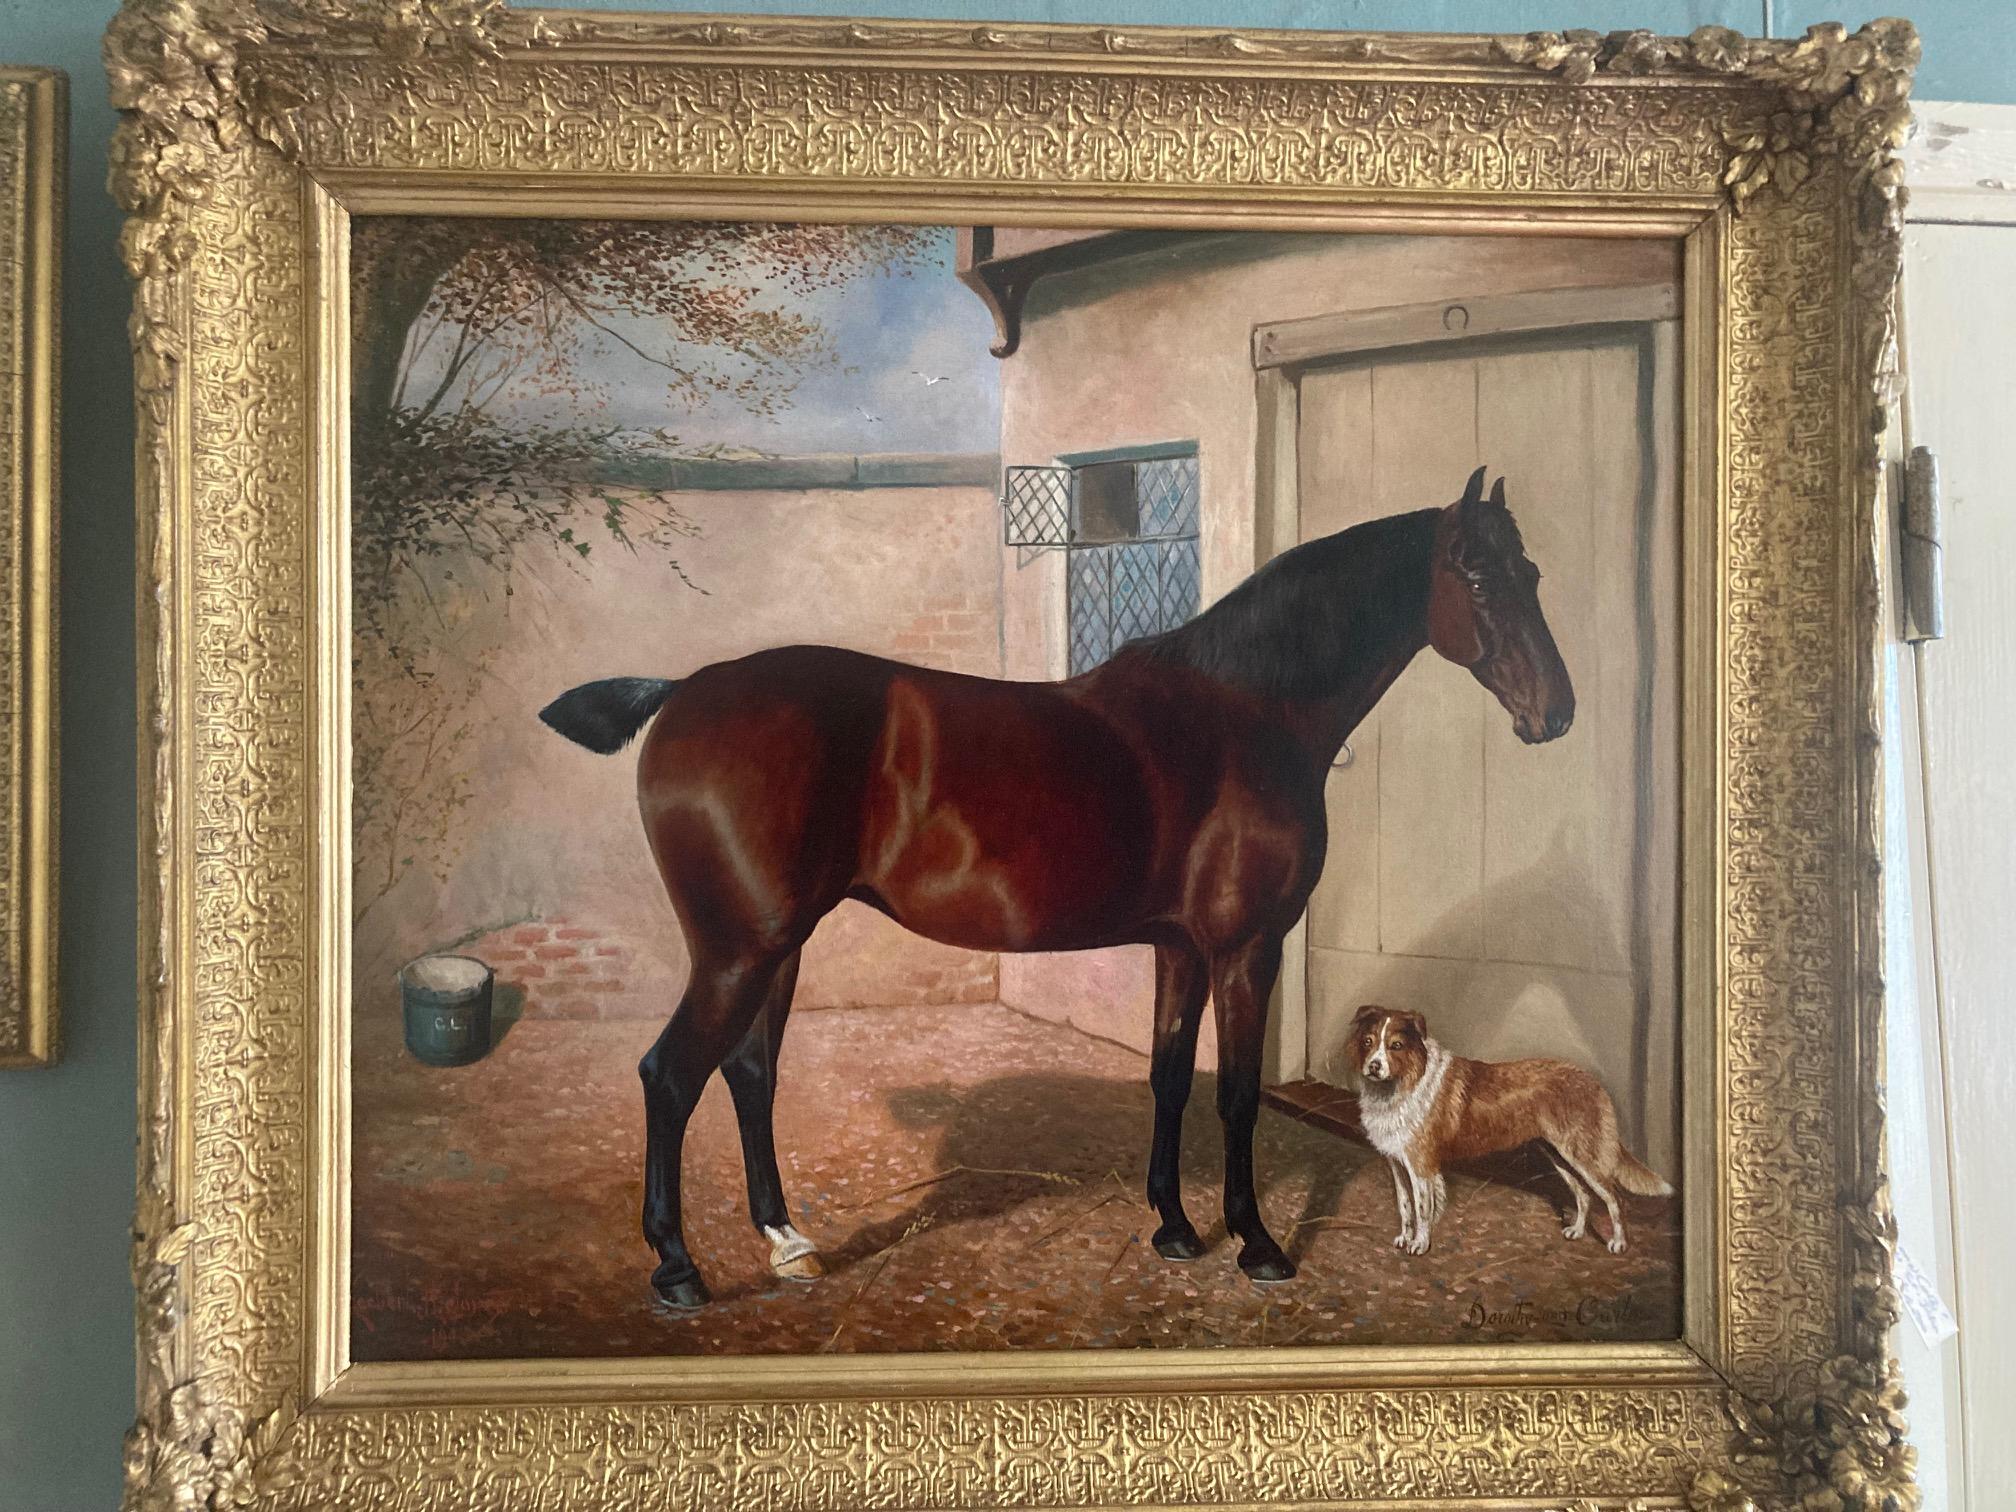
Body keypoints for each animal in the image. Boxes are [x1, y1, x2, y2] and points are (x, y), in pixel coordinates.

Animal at [540, 467, 1572, 1306]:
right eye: (1479, 577)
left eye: (1533, 574)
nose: (1556, 711)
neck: (1248, 710)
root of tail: (682, 691)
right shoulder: (1247, 947)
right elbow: (1236, 1093)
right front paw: (1258, 1244)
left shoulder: (1178, 946)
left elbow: (1170, 1079)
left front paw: (1174, 1229)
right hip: (738, 950)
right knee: (671, 1075)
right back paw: (678, 1270)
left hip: (775, 947)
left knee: (750, 1074)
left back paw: (788, 1243)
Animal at [1354, 1008, 1669, 1257]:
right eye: (1368, 1042)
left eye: (1395, 1045)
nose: (1373, 1066)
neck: (1404, 1081)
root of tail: (1593, 1083)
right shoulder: (1397, 1163)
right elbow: (1405, 1206)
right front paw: (1404, 1238)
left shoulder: (1421, 1165)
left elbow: (1421, 1209)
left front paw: (1419, 1244)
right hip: (1559, 1155)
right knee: (1583, 1195)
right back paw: (1577, 1231)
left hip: (1581, 1155)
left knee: (1614, 1199)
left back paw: (1619, 1244)